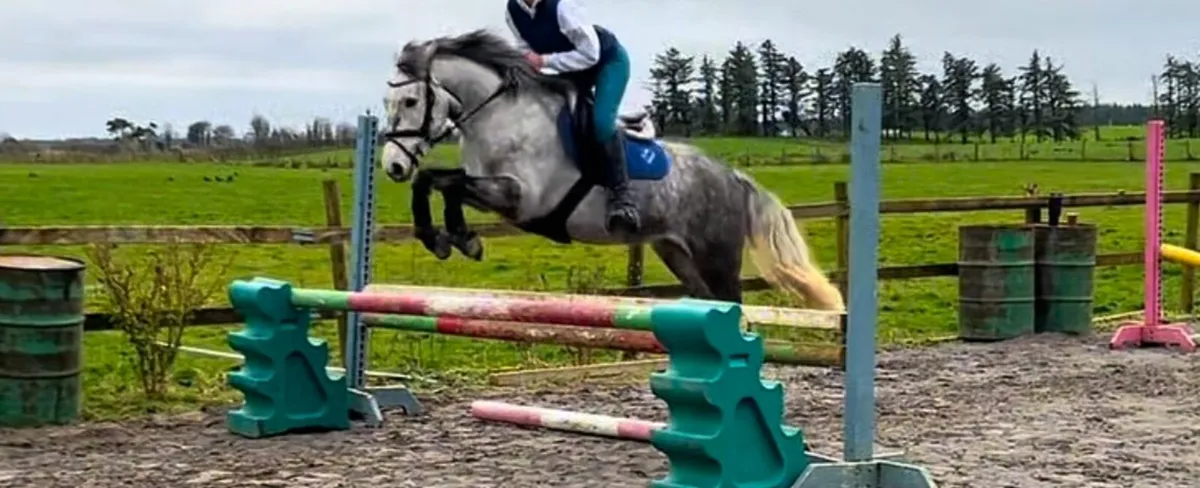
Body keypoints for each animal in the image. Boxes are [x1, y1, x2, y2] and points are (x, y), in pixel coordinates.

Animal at [379, 29, 844, 311]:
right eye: (387, 102)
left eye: (410, 101)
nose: (393, 166)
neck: (501, 115)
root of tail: (732, 177)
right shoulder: (494, 191)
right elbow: (436, 181)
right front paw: (443, 239)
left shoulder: (520, 199)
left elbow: (447, 183)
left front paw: (460, 239)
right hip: (677, 254)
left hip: (717, 256)